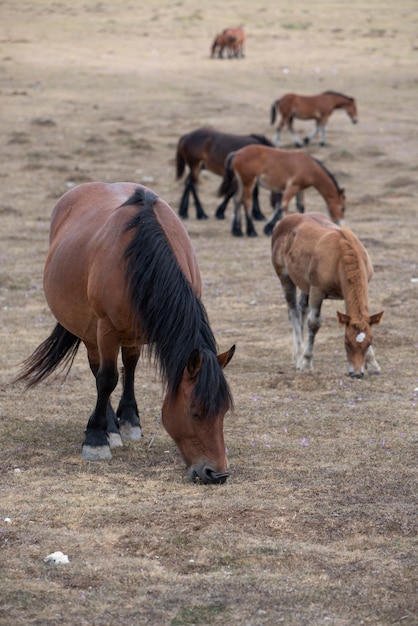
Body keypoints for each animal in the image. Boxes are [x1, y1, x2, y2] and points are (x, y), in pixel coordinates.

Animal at [15, 180, 235, 482]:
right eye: (196, 413)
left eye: (224, 412)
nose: (217, 473)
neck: (140, 259)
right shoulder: (106, 328)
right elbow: (107, 379)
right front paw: (96, 439)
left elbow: (128, 369)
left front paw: (129, 421)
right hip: (91, 330)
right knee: (100, 371)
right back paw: (107, 427)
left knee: (127, 367)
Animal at [270, 212, 384, 376]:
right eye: (346, 342)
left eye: (370, 342)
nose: (356, 373)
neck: (340, 256)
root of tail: (285, 220)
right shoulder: (317, 290)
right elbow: (314, 323)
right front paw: (306, 361)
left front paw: (373, 364)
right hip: (285, 276)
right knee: (293, 310)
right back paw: (299, 354)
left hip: (306, 285)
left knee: (301, 308)